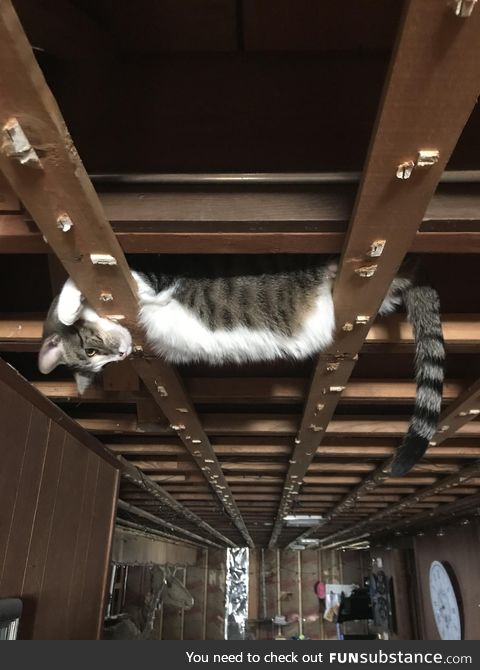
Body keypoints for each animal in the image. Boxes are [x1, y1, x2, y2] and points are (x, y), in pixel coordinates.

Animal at [38, 253, 446, 478]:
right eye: (98, 364)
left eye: (92, 353)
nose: (121, 355)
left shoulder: (153, 277)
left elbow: (72, 285)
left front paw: (69, 306)